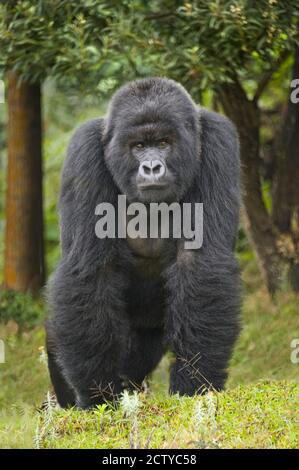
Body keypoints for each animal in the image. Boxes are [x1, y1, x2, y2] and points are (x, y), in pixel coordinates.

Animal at [47, 76, 244, 408]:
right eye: (139, 146)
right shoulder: (84, 150)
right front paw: (98, 395)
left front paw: (193, 384)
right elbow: (90, 269)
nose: (151, 167)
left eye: (163, 143)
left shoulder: (219, 141)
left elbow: (200, 263)